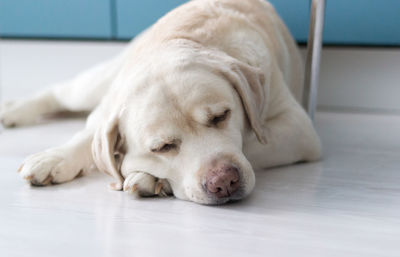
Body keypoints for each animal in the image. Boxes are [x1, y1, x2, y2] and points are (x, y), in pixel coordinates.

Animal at [0, 0, 320, 204]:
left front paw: (144, 175)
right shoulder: (110, 107)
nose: (224, 181)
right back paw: (14, 110)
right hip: (98, 83)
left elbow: (251, 142)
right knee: (58, 92)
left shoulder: (299, 127)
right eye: (163, 147)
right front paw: (56, 158)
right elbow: (90, 136)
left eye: (221, 116)